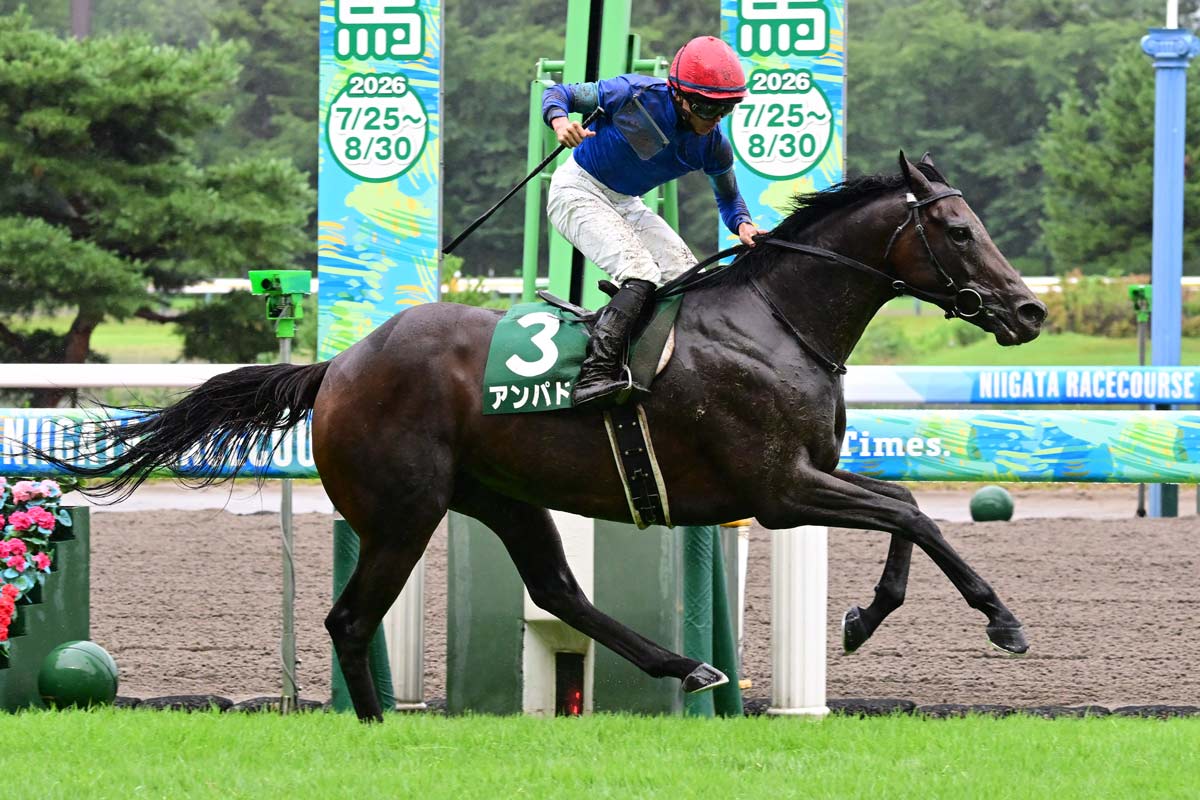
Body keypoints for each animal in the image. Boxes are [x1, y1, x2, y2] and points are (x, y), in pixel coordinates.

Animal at [34, 153, 1046, 722]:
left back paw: (687, 665)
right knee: (352, 618)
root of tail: (340, 366)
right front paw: (999, 620)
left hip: (506, 500)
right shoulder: (776, 491)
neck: (777, 321)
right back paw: (376, 730)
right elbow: (915, 516)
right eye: (959, 228)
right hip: (403, 513)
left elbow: (906, 508)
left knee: (558, 591)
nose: (1030, 310)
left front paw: (867, 616)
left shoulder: (803, 481)